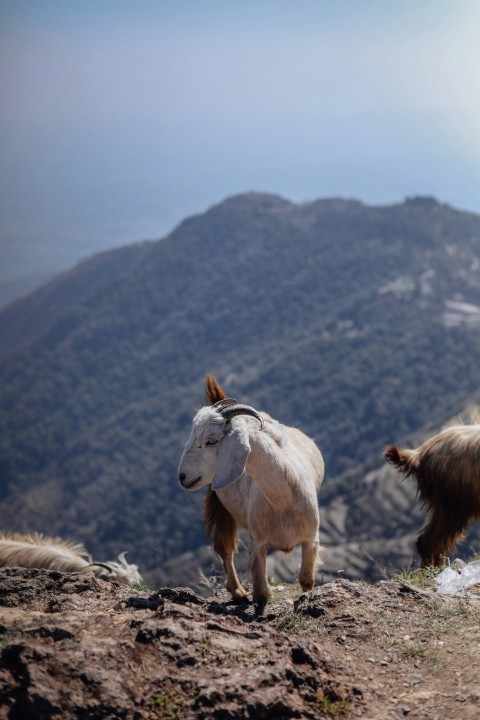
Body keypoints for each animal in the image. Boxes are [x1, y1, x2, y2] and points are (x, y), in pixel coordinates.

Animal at [178, 376, 324, 612]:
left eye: (211, 440)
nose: (182, 476)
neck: (283, 498)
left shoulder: (311, 539)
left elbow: (306, 580)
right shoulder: (258, 543)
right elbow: (261, 594)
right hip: (219, 503)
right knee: (225, 549)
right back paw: (237, 592)